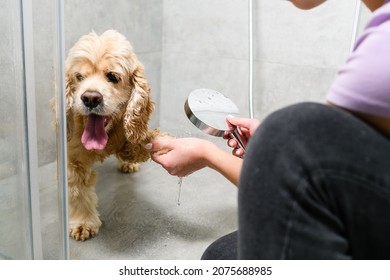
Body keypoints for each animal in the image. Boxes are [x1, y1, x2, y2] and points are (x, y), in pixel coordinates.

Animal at [52, 30, 161, 241]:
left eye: (112, 76)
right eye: (79, 77)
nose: (90, 98)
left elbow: (135, 143)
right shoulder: (73, 159)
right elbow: (77, 191)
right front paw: (83, 223)